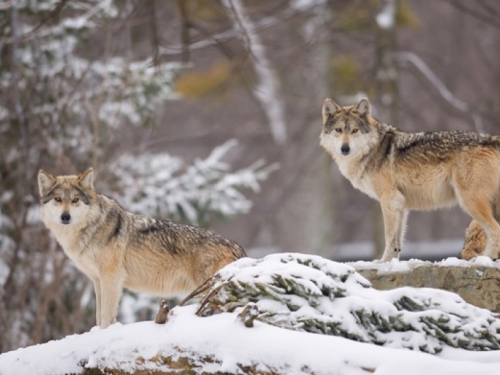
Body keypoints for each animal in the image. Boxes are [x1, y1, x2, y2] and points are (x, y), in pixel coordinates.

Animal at [38, 169, 245, 328]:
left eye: (75, 200)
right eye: (58, 199)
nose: (65, 217)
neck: (91, 228)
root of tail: (236, 246)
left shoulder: (111, 277)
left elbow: (106, 316)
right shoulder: (97, 280)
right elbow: (98, 315)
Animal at [320, 98, 500, 262]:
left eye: (354, 130)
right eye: (338, 130)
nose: (345, 149)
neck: (373, 149)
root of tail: (492, 139)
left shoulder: (389, 199)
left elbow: (389, 236)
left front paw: (383, 262)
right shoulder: (401, 203)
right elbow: (397, 242)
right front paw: (391, 262)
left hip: (470, 202)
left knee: (495, 230)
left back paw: (486, 258)